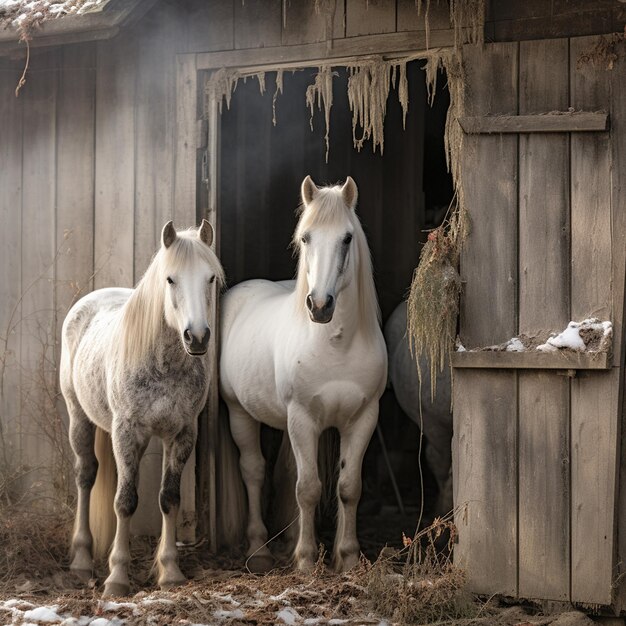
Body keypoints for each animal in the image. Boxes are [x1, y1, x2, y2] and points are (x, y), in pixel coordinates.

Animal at [58, 221, 223, 596]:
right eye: (170, 279)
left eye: (210, 278)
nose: (197, 338)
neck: (165, 364)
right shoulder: (127, 433)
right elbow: (125, 501)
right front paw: (117, 577)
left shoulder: (182, 434)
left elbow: (169, 498)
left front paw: (170, 570)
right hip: (79, 418)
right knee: (86, 475)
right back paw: (82, 560)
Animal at [218, 174, 386, 572]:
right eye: (306, 237)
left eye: (347, 238)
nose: (320, 305)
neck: (336, 345)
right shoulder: (302, 418)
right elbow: (308, 488)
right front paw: (308, 560)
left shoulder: (362, 418)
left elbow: (348, 488)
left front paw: (347, 558)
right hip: (240, 413)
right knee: (254, 471)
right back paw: (259, 550)